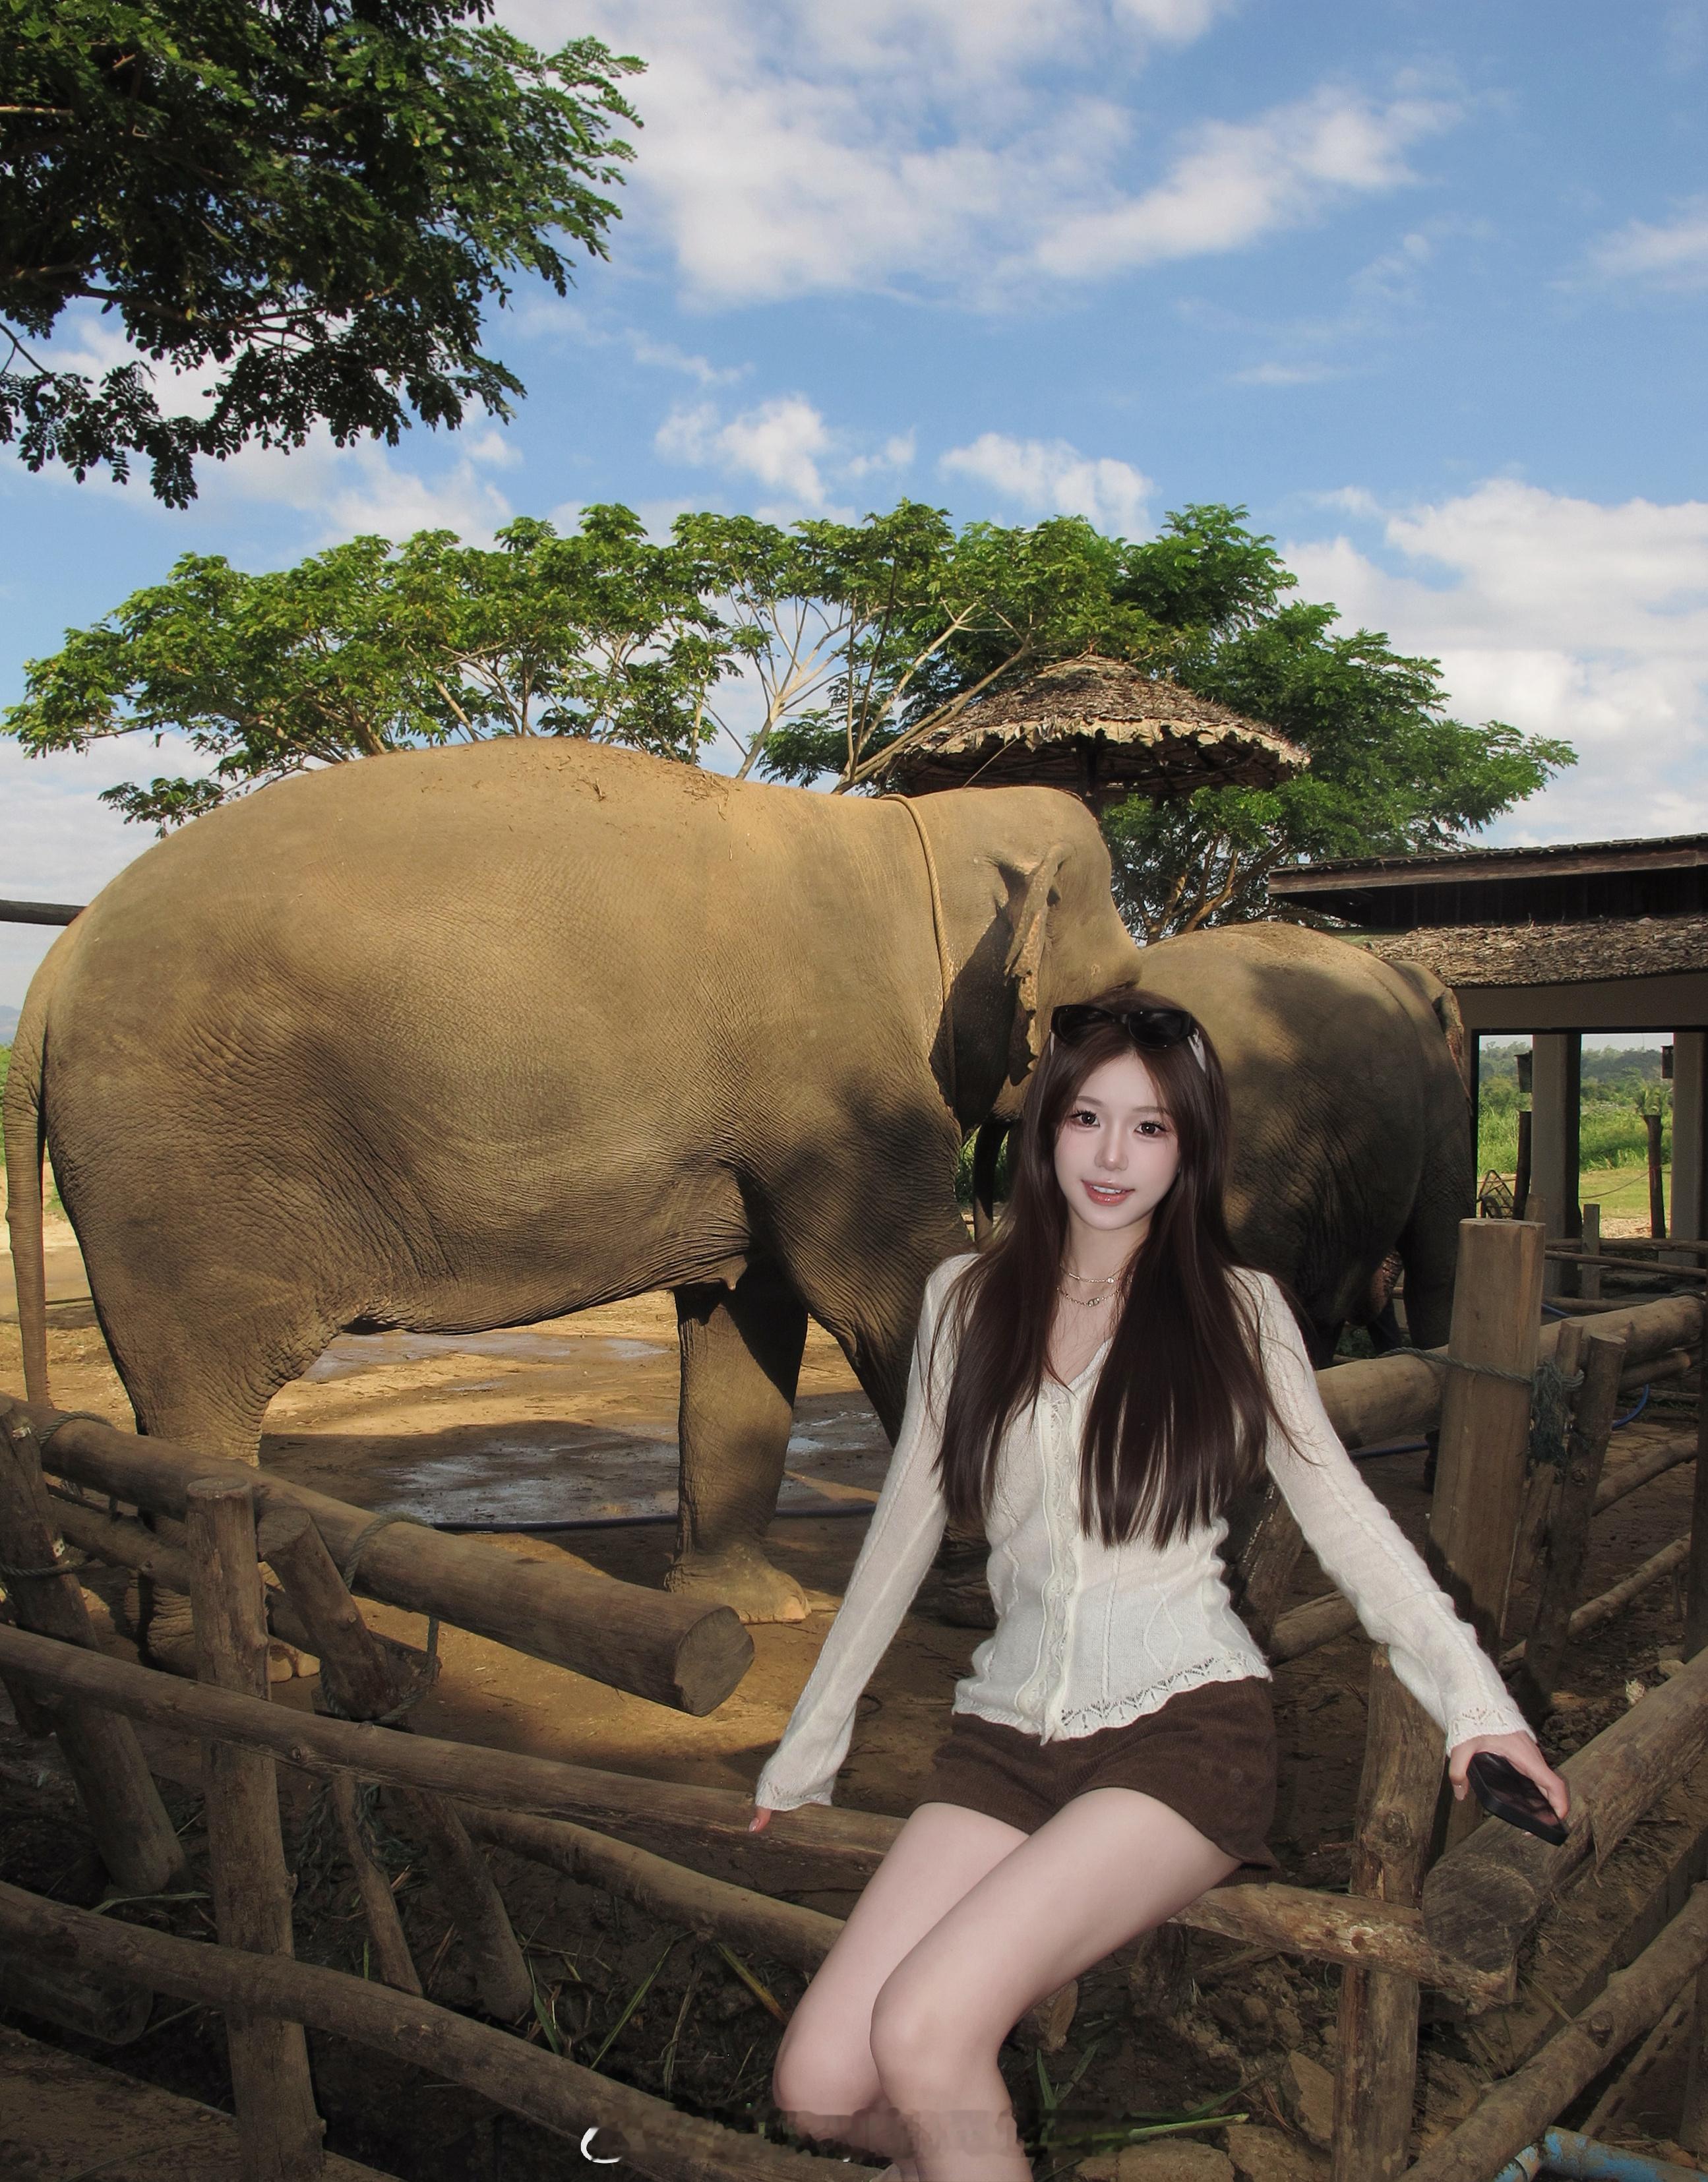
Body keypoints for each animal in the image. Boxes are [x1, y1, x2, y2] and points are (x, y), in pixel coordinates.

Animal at [6, 737, 1467, 1629]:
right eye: (1107, 1003)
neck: (913, 839)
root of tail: (55, 967)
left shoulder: (776, 1126)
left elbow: (749, 1319)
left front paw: (745, 1610)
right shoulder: (842, 1088)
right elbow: (886, 1297)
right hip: (179, 1161)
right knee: (201, 1400)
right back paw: (254, 1651)